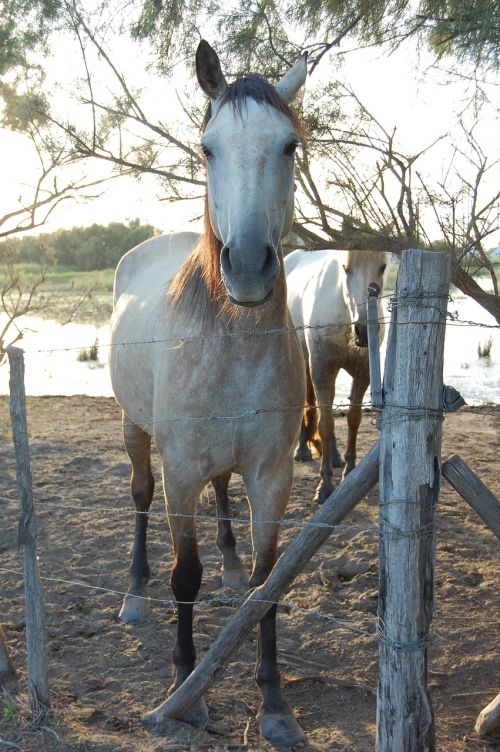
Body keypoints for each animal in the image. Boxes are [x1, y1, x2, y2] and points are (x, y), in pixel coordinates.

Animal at [110, 42, 308, 748]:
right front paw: (184, 690)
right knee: (139, 501)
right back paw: (134, 595)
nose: (247, 266)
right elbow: (184, 576)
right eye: (207, 148)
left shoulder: (273, 472)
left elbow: (267, 582)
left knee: (226, 498)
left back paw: (226, 568)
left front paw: (274, 702)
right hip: (136, 434)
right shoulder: (182, 471)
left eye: (288, 146)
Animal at [286, 250, 386, 502]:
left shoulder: (362, 374)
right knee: (312, 407)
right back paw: (302, 450)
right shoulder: (322, 370)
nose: (364, 331)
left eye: (382, 267)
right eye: (346, 268)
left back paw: (334, 456)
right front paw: (325, 485)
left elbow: (353, 419)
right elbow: (325, 424)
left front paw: (349, 473)